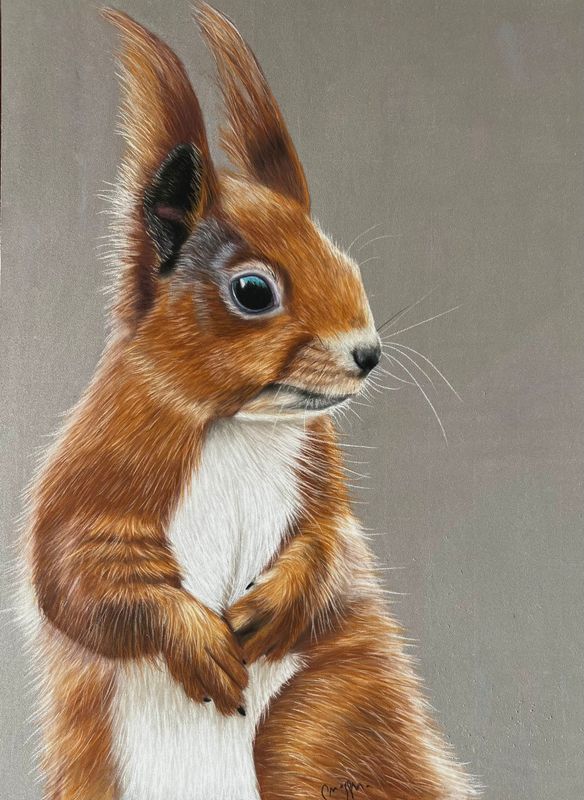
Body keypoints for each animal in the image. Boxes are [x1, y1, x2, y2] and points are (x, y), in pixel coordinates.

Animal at [23, 4, 477, 799]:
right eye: (253, 290)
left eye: (344, 261)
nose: (367, 353)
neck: (241, 427)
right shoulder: (97, 468)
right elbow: (80, 575)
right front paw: (198, 640)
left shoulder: (320, 480)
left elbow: (332, 548)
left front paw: (270, 607)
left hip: (327, 719)